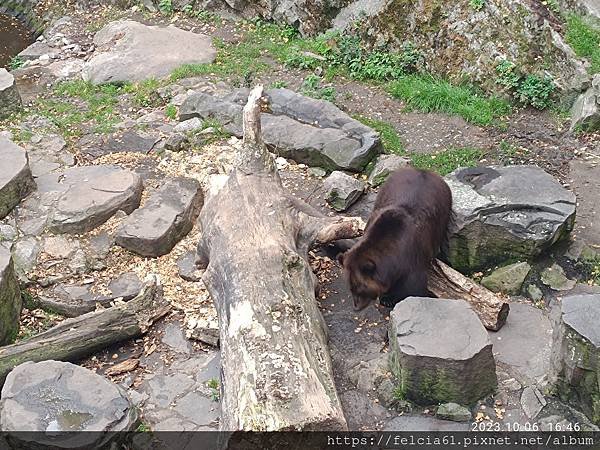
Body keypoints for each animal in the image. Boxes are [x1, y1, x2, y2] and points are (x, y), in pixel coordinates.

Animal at [340, 167, 452, 312]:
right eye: (351, 287)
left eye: (361, 288)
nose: (356, 307)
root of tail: (423, 170)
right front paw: (386, 297)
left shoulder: (413, 261)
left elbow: (413, 290)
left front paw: (392, 299)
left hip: (443, 212)